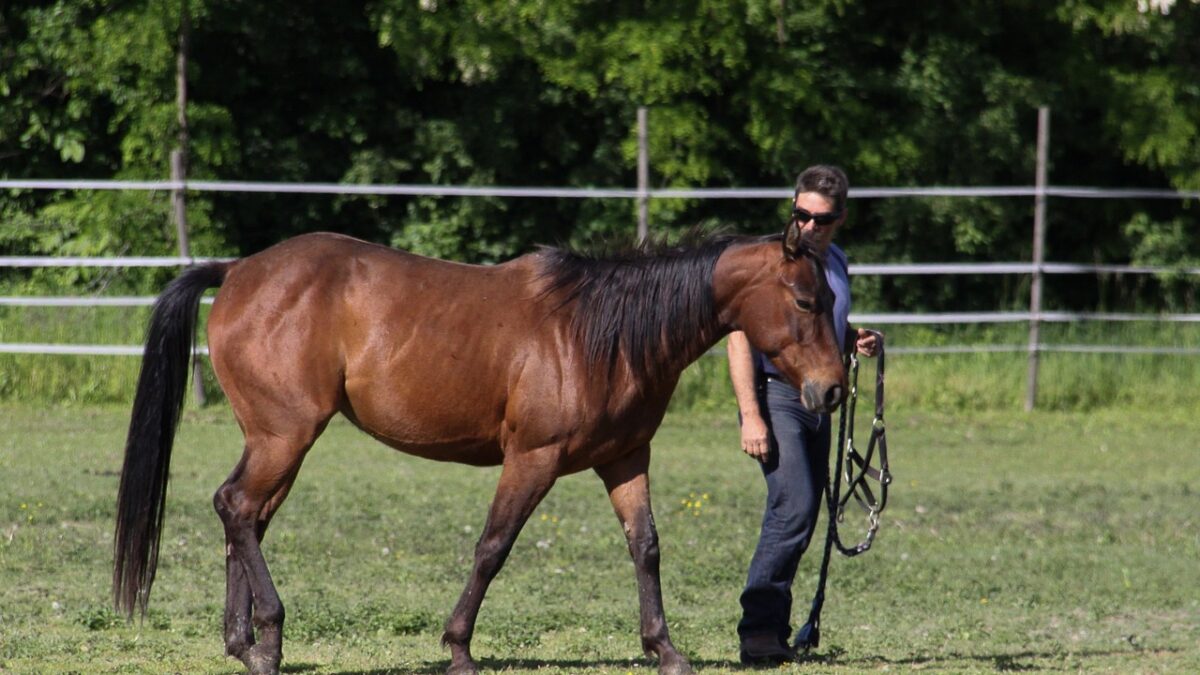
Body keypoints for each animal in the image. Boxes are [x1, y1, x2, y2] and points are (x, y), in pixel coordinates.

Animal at [112, 220, 847, 675]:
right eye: (805, 301)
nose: (834, 390)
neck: (598, 332)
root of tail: (239, 270)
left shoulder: (625, 458)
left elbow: (646, 547)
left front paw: (664, 648)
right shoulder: (533, 458)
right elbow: (494, 546)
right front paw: (460, 647)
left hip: (274, 440)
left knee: (243, 516)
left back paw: (246, 643)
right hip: (285, 436)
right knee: (238, 508)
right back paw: (265, 637)